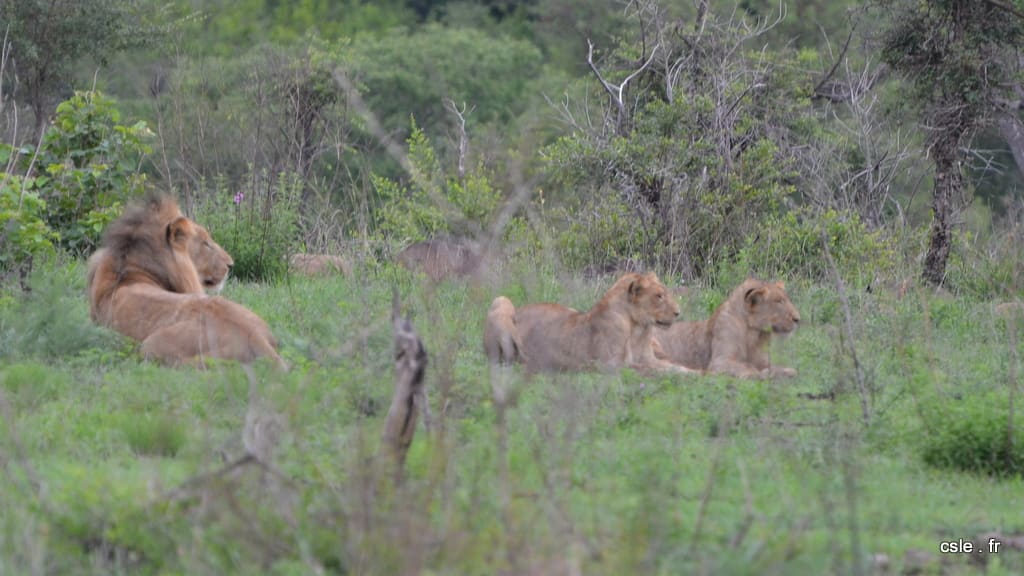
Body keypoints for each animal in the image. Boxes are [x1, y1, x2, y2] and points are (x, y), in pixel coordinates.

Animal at [491, 270, 700, 375]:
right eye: (659, 296)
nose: (678, 313)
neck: (638, 329)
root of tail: (521, 309)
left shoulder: (648, 357)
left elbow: (674, 367)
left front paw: (696, 372)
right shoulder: (609, 365)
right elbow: (651, 370)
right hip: (500, 304)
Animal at [651, 276, 802, 377]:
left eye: (786, 299)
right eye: (778, 301)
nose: (797, 319)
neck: (755, 334)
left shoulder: (763, 360)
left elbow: (780, 367)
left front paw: (786, 371)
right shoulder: (720, 361)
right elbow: (748, 368)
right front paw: (761, 374)